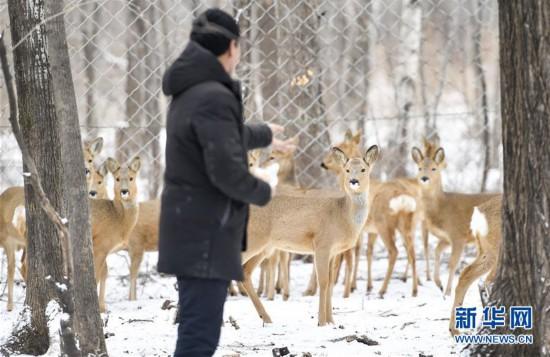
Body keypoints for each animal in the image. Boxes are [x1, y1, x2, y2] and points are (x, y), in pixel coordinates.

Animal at [91, 154, 141, 310]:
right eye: (117, 178)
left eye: (131, 178)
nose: (124, 191)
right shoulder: (100, 245)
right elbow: (96, 275)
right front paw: (100, 308)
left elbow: (105, 272)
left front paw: (102, 306)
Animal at [242, 145, 380, 326]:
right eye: (347, 169)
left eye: (364, 169)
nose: (353, 181)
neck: (342, 215)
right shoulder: (322, 244)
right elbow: (324, 282)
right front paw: (321, 322)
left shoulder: (333, 252)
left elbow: (330, 283)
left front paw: (331, 321)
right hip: (254, 239)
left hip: (265, 247)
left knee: (245, 272)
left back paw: (266, 317)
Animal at [414, 139, 500, 294]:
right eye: (419, 168)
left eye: (434, 169)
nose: (424, 178)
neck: (441, 206)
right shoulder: (447, 238)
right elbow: (437, 252)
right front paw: (439, 284)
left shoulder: (458, 235)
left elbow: (452, 263)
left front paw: (446, 291)